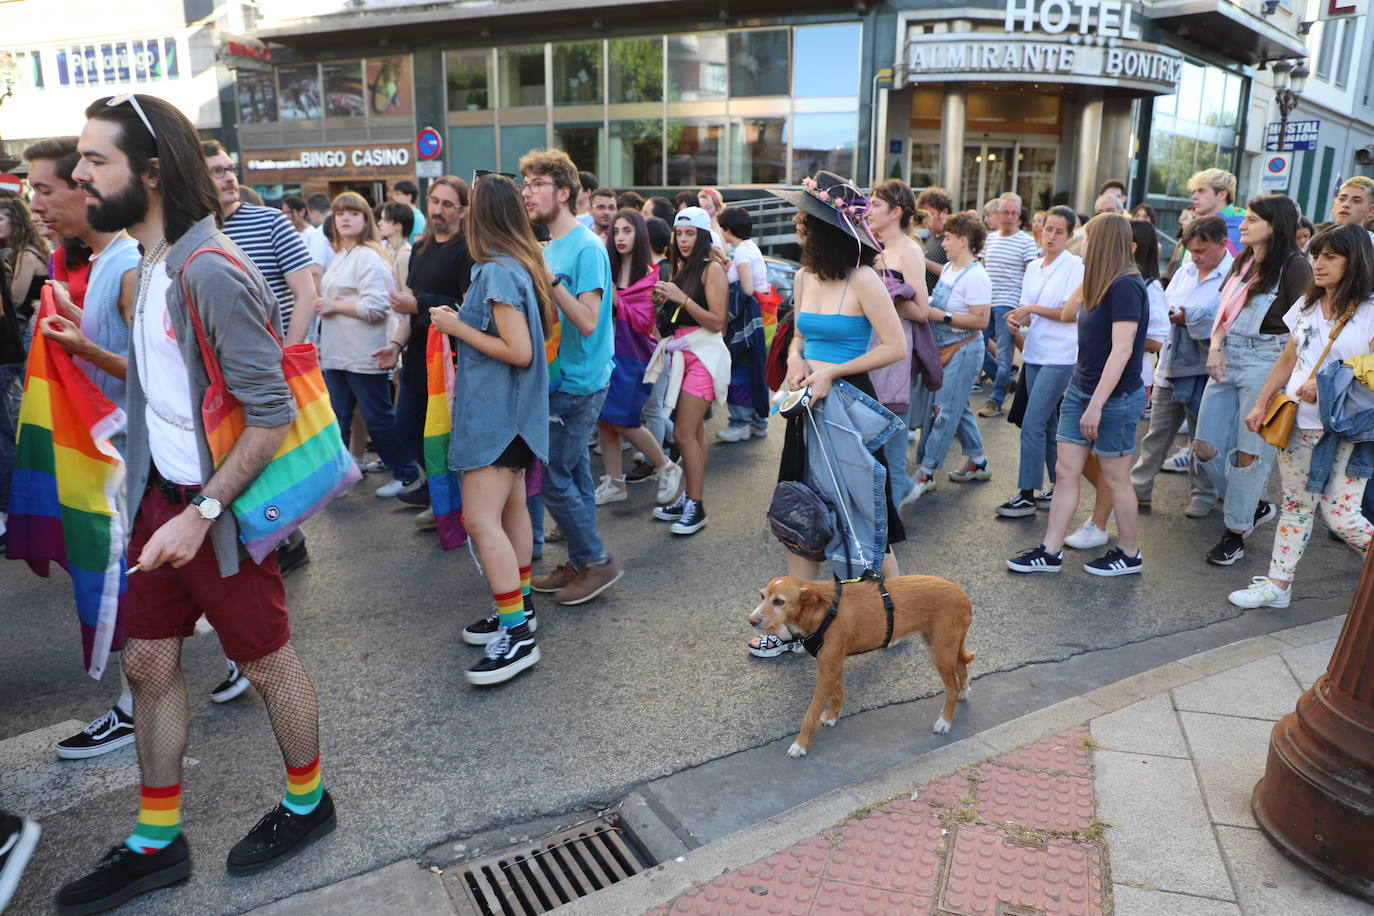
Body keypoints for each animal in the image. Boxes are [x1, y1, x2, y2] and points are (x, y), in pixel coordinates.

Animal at [752, 574, 978, 758]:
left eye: (779, 601)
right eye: (762, 596)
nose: (751, 620)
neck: (822, 611)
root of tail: (962, 595)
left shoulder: (827, 670)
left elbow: (811, 713)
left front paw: (800, 745)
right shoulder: (833, 663)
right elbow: (838, 693)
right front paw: (833, 715)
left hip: (940, 651)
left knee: (951, 686)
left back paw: (945, 721)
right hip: (944, 646)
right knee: (961, 666)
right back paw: (964, 691)